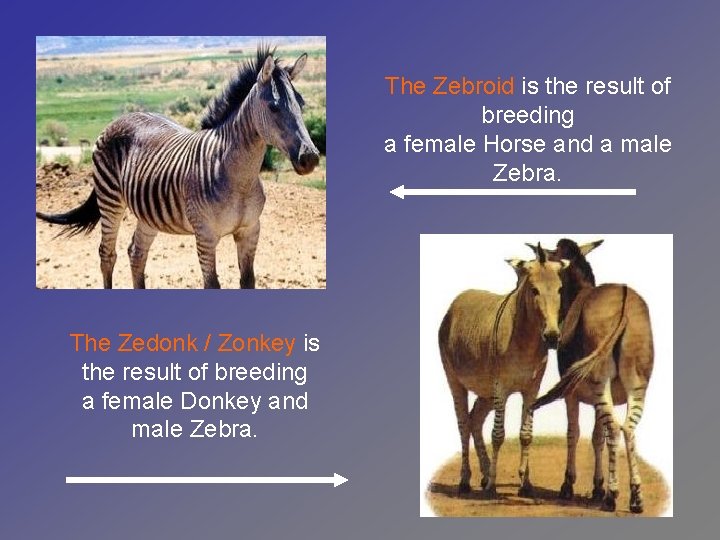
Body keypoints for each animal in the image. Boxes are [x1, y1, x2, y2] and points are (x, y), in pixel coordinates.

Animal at [36, 45, 320, 289]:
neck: (239, 178)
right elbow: (212, 283)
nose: (311, 158)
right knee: (107, 254)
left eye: (302, 104)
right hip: (110, 200)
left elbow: (248, 281)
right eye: (273, 107)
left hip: (148, 211)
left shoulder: (250, 230)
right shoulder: (205, 236)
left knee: (136, 252)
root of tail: (124, 116)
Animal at [438, 246, 569, 496]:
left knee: (474, 420)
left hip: (486, 391)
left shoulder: (531, 389)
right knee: (463, 424)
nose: (552, 337)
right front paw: (491, 486)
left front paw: (525, 485)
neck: (525, 340)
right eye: (534, 290)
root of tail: (457, 300)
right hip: (456, 382)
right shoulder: (502, 388)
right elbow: (498, 436)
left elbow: (526, 435)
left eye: (560, 289)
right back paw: (465, 480)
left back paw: (483, 473)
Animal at [530, 239, 654, 513]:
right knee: (628, 428)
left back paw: (613, 496)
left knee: (616, 429)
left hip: (600, 383)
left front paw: (569, 485)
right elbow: (598, 437)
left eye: (557, 284)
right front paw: (598, 487)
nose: (551, 336)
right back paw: (636, 497)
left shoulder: (571, 394)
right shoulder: (601, 398)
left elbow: (573, 433)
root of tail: (625, 301)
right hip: (636, 385)